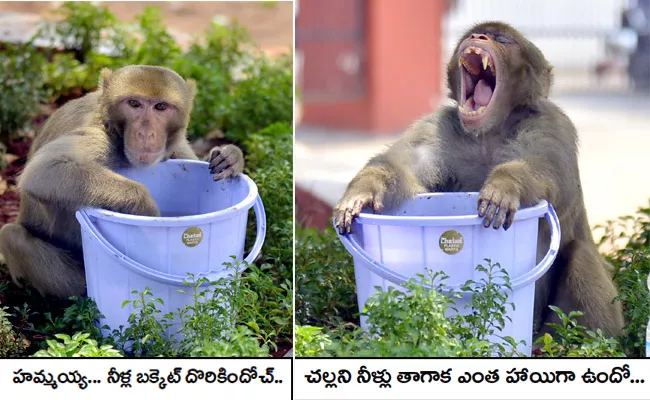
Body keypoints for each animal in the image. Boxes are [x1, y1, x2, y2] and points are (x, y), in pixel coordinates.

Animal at [0, 64, 243, 298]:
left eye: (160, 107)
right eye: (134, 103)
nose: (146, 133)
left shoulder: (176, 144)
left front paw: (230, 156)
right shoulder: (98, 135)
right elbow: (44, 171)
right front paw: (147, 212)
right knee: (12, 236)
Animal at [334, 21, 624, 340]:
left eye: (503, 40)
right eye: (476, 33)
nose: (479, 37)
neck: (489, 133)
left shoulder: (551, 123)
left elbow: (542, 168)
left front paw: (504, 187)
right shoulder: (439, 126)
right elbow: (404, 167)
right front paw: (361, 192)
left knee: (580, 255)